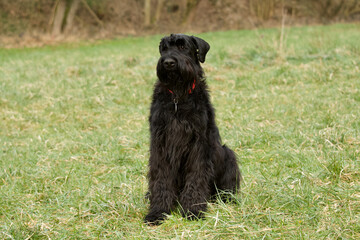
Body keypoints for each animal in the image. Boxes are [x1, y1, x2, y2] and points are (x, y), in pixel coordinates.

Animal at [145, 33, 240, 225]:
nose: (168, 63)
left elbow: (196, 175)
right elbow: (160, 177)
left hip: (227, 154)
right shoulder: (160, 143)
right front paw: (158, 211)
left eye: (183, 47)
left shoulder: (199, 144)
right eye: (164, 48)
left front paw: (193, 210)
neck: (178, 97)